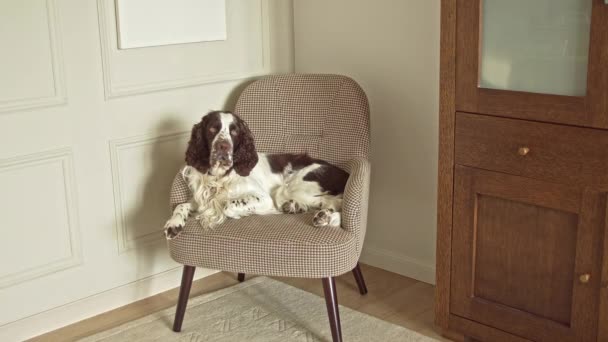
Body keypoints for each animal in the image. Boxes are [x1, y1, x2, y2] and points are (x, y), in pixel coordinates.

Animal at [164, 111, 350, 239]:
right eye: (212, 129)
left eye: (234, 132)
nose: (223, 146)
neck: (219, 177)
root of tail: (345, 174)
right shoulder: (202, 199)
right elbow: (182, 205)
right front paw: (174, 223)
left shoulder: (263, 198)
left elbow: (228, 205)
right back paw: (299, 208)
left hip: (289, 188)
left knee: (335, 202)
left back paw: (323, 216)